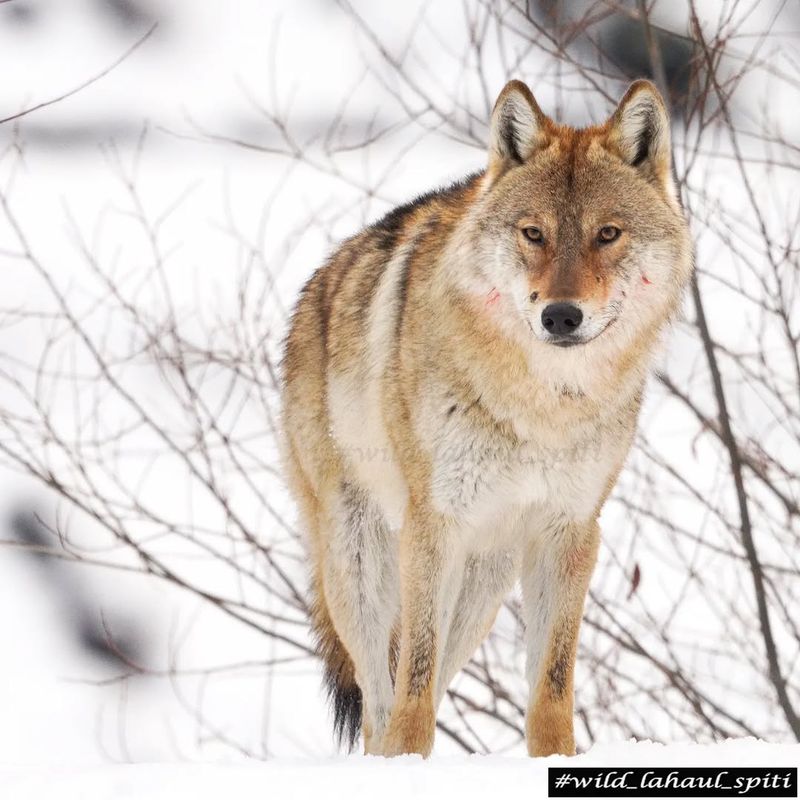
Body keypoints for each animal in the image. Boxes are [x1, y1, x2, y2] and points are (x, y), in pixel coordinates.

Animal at [282, 79, 692, 756]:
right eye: (533, 233)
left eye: (608, 233)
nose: (561, 316)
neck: (542, 407)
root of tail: (321, 280)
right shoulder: (434, 526)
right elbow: (413, 691)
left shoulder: (570, 532)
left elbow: (551, 688)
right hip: (361, 562)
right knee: (380, 700)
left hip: (483, 586)